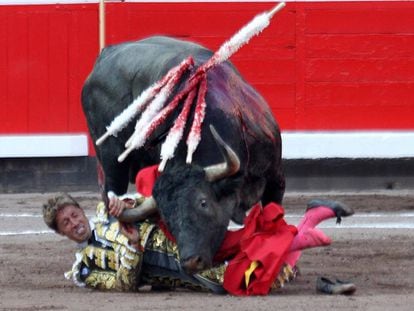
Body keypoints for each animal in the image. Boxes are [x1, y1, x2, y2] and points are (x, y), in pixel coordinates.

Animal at [82, 36, 286, 272]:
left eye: (203, 202)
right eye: (167, 218)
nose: (191, 261)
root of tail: (105, 54)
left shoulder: (276, 179)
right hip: (111, 161)